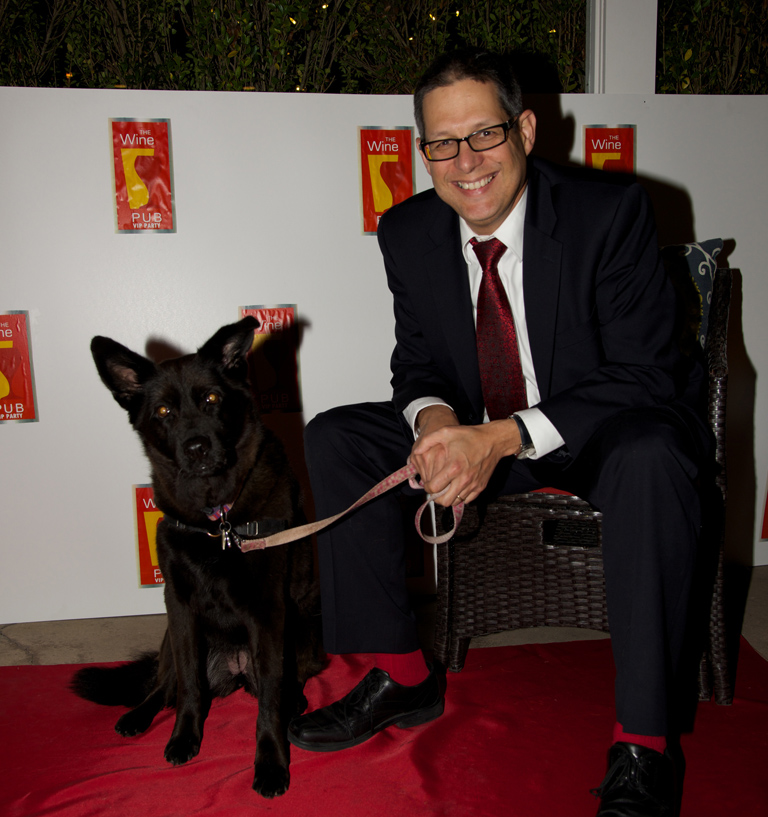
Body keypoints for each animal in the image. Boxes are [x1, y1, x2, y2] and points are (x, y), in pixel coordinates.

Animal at [70, 318, 322, 796]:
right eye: (163, 412)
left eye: (211, 399)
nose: (197, 447)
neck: (217, 519)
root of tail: (235, 670)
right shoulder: (179, 606)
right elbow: (188, 686)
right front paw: (184, 737)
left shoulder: (268, 611)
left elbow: (269, 704)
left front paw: (271, 762)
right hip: (171, 634)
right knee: (164, 685)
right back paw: (138, 715)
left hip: (303, 630)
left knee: (285, 682)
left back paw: (295, 699)